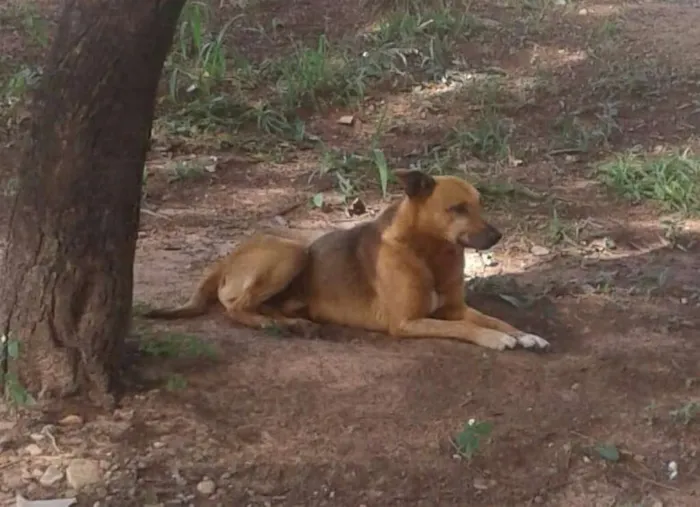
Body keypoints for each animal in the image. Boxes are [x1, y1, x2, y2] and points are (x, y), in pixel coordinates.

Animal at [145, 171, 548, 354]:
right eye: (458, 208)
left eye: (479, 204)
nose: (498, 236)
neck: (428, 253)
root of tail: (227, 257)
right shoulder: (408, 322)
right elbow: (466, 328)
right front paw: (496, 339)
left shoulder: (453, 308)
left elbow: (493, 318)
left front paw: (523, 334)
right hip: (293, 251)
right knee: (236, 308)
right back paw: (273, 325)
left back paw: (294, 324)